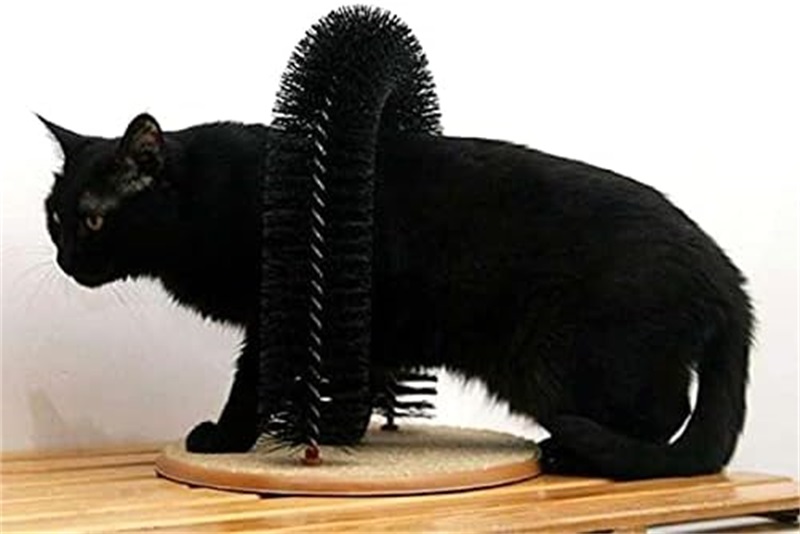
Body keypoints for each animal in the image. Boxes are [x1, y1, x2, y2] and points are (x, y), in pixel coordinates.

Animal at [39, 112, 753, 480]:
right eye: (54, 216)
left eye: (93, 220)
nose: (66, 260)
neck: (206, 196)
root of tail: (724, 271)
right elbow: (352, 381)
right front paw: (337, 431)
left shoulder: (280, 315)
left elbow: (255, 380)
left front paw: (229, 437)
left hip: (563, 360)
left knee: (665, 415)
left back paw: (569, 451)